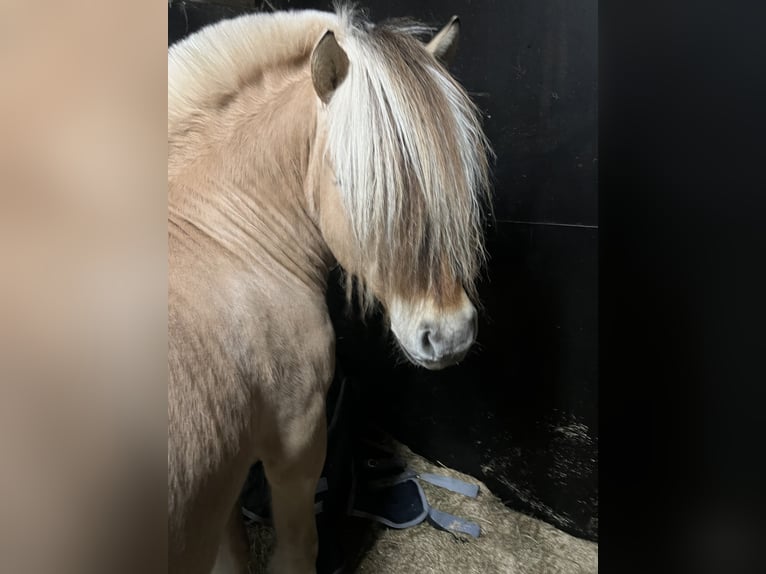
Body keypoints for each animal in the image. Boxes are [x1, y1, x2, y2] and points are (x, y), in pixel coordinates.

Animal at [168, 6, 492, 573]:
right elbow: (299, 550)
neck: (219, 236)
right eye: (360, 183)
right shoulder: (296, 443)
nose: (450, 335)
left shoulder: (224, 481)